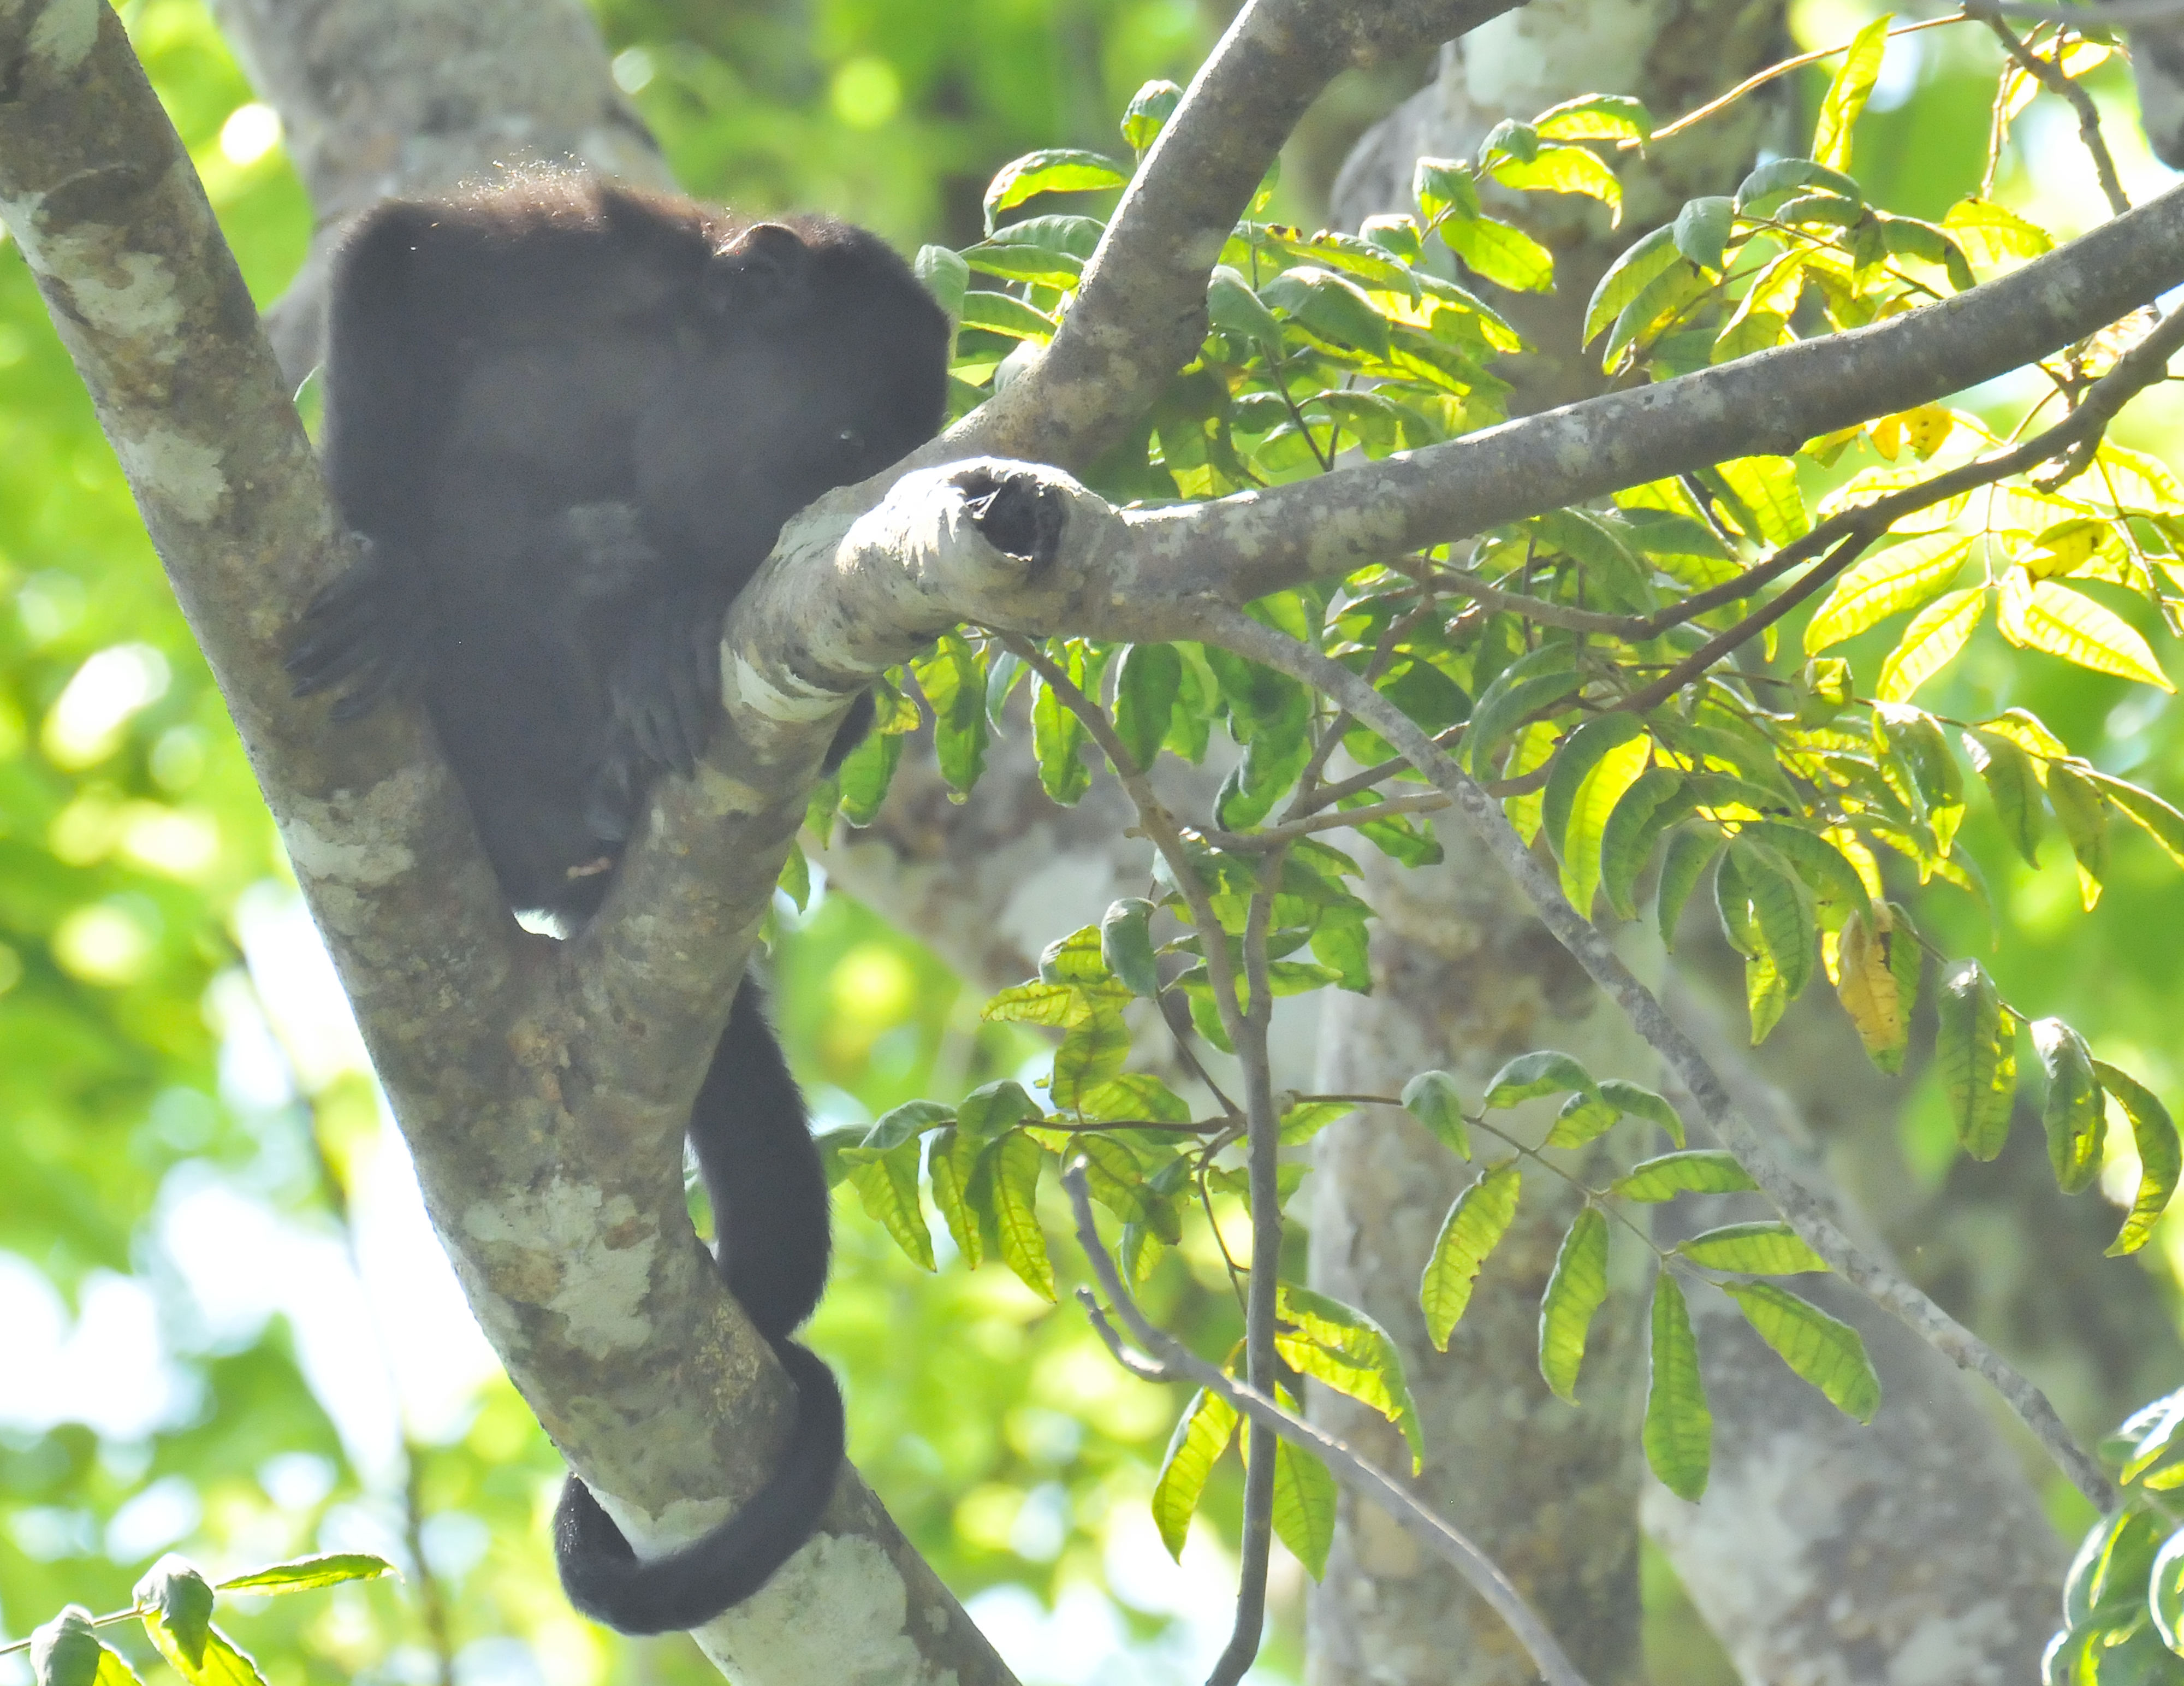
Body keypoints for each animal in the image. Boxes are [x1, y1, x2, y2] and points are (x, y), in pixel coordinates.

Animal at [288, 181, 948, 1634]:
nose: (803, 518)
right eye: (839, 441)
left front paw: (672, 614)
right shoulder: (580, 253)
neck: (666, 384)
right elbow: (395, 256)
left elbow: (839, 694)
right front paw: (389, 558)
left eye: (864, 470)